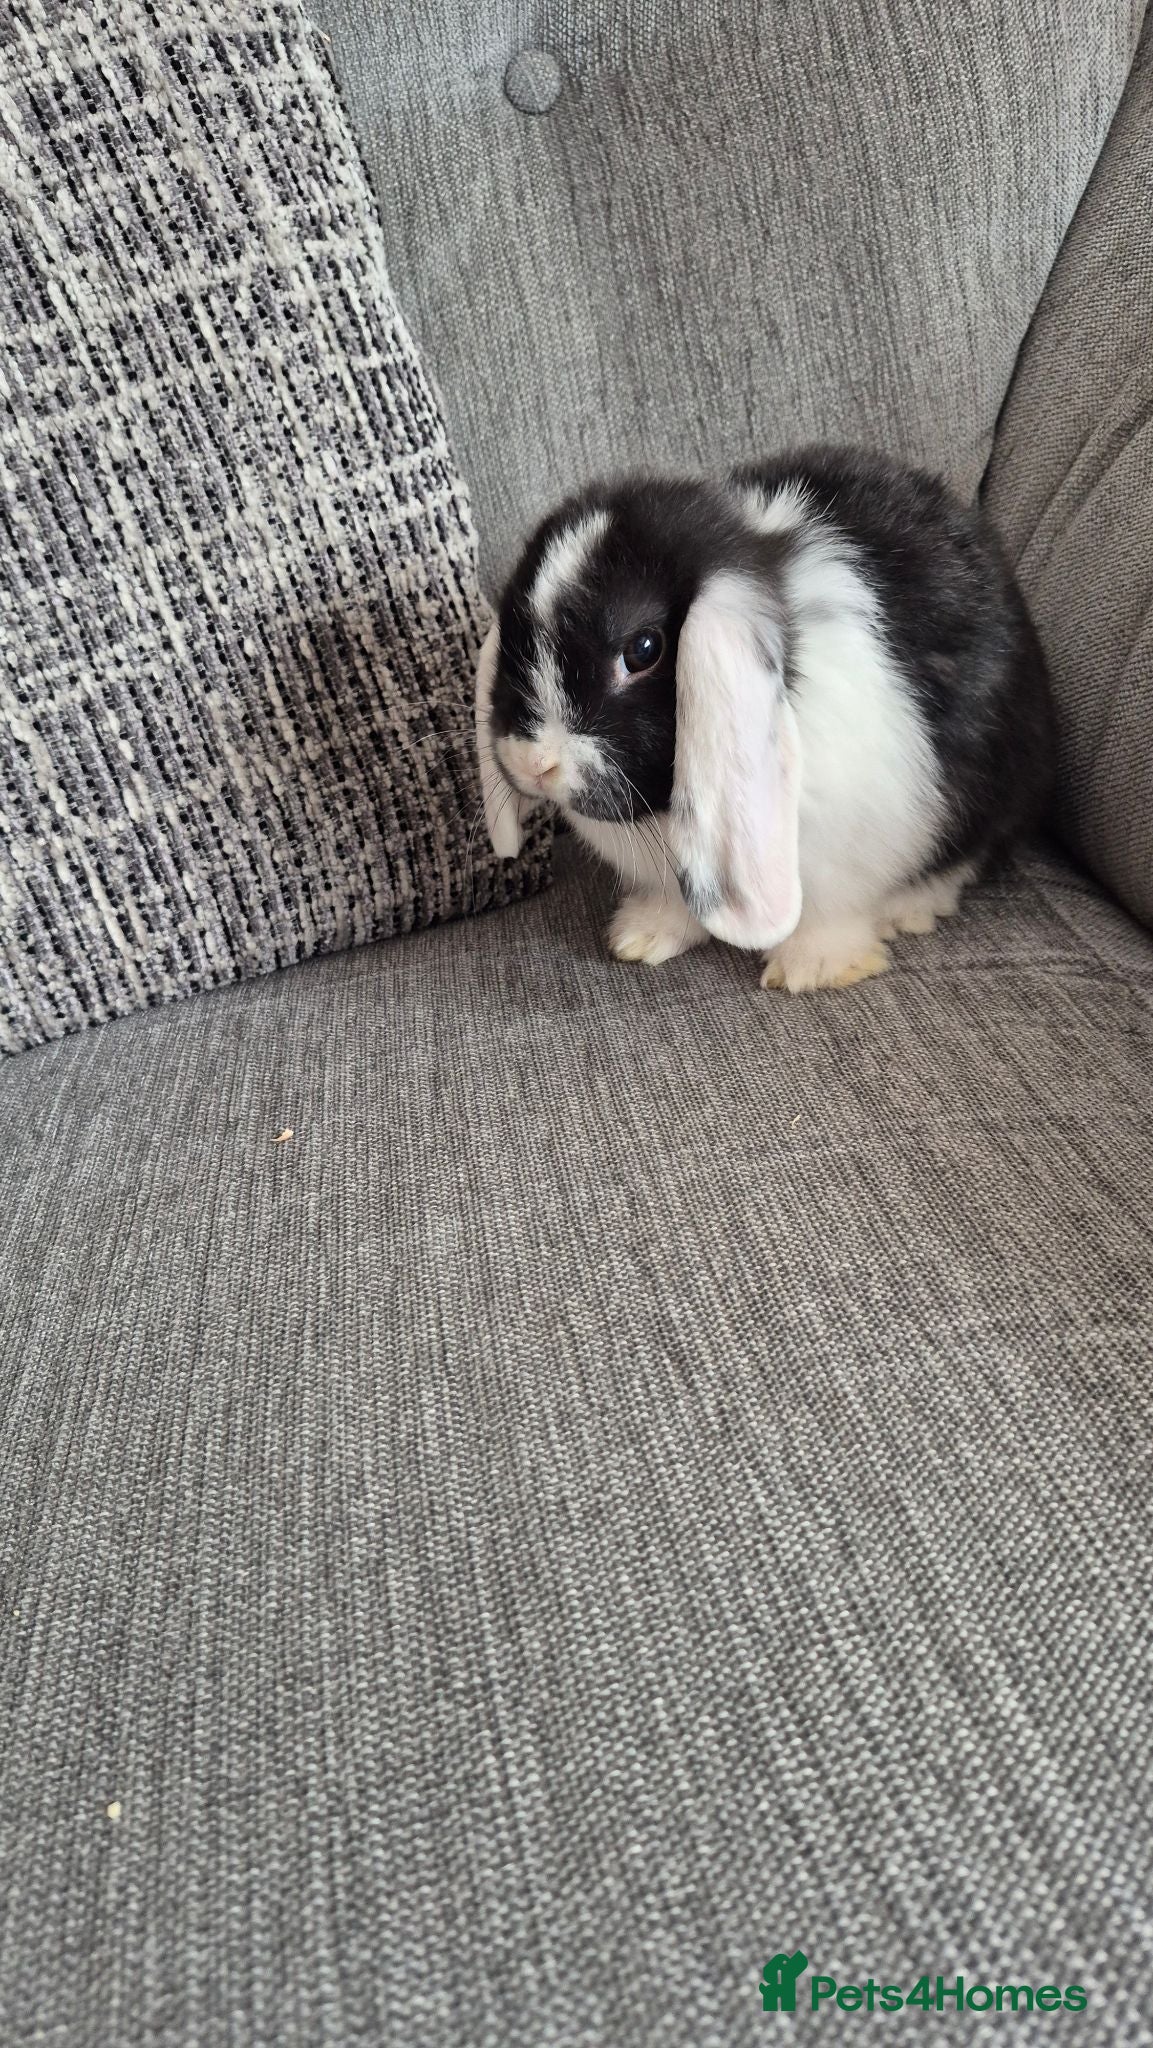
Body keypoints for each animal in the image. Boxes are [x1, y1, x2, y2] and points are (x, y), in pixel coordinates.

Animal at [475, 445, 1055, 991]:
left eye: (643, 649)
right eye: (512, 634)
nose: (533, 764)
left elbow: (832, 915)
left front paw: (811, 969)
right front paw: (640, 938)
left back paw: (908, 909)